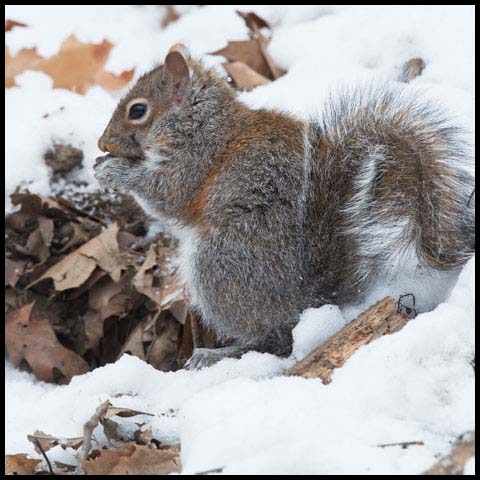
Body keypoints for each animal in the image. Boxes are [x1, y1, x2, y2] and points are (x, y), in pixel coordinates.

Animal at [94, 44, 476, 368]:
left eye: (138, 110)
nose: (101, 143)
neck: (203, 122)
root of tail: (307, 300)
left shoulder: (196, 162)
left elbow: (167, 196)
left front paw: (114, 172)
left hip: (220, 263)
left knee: (273, 340)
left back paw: (217, 354)